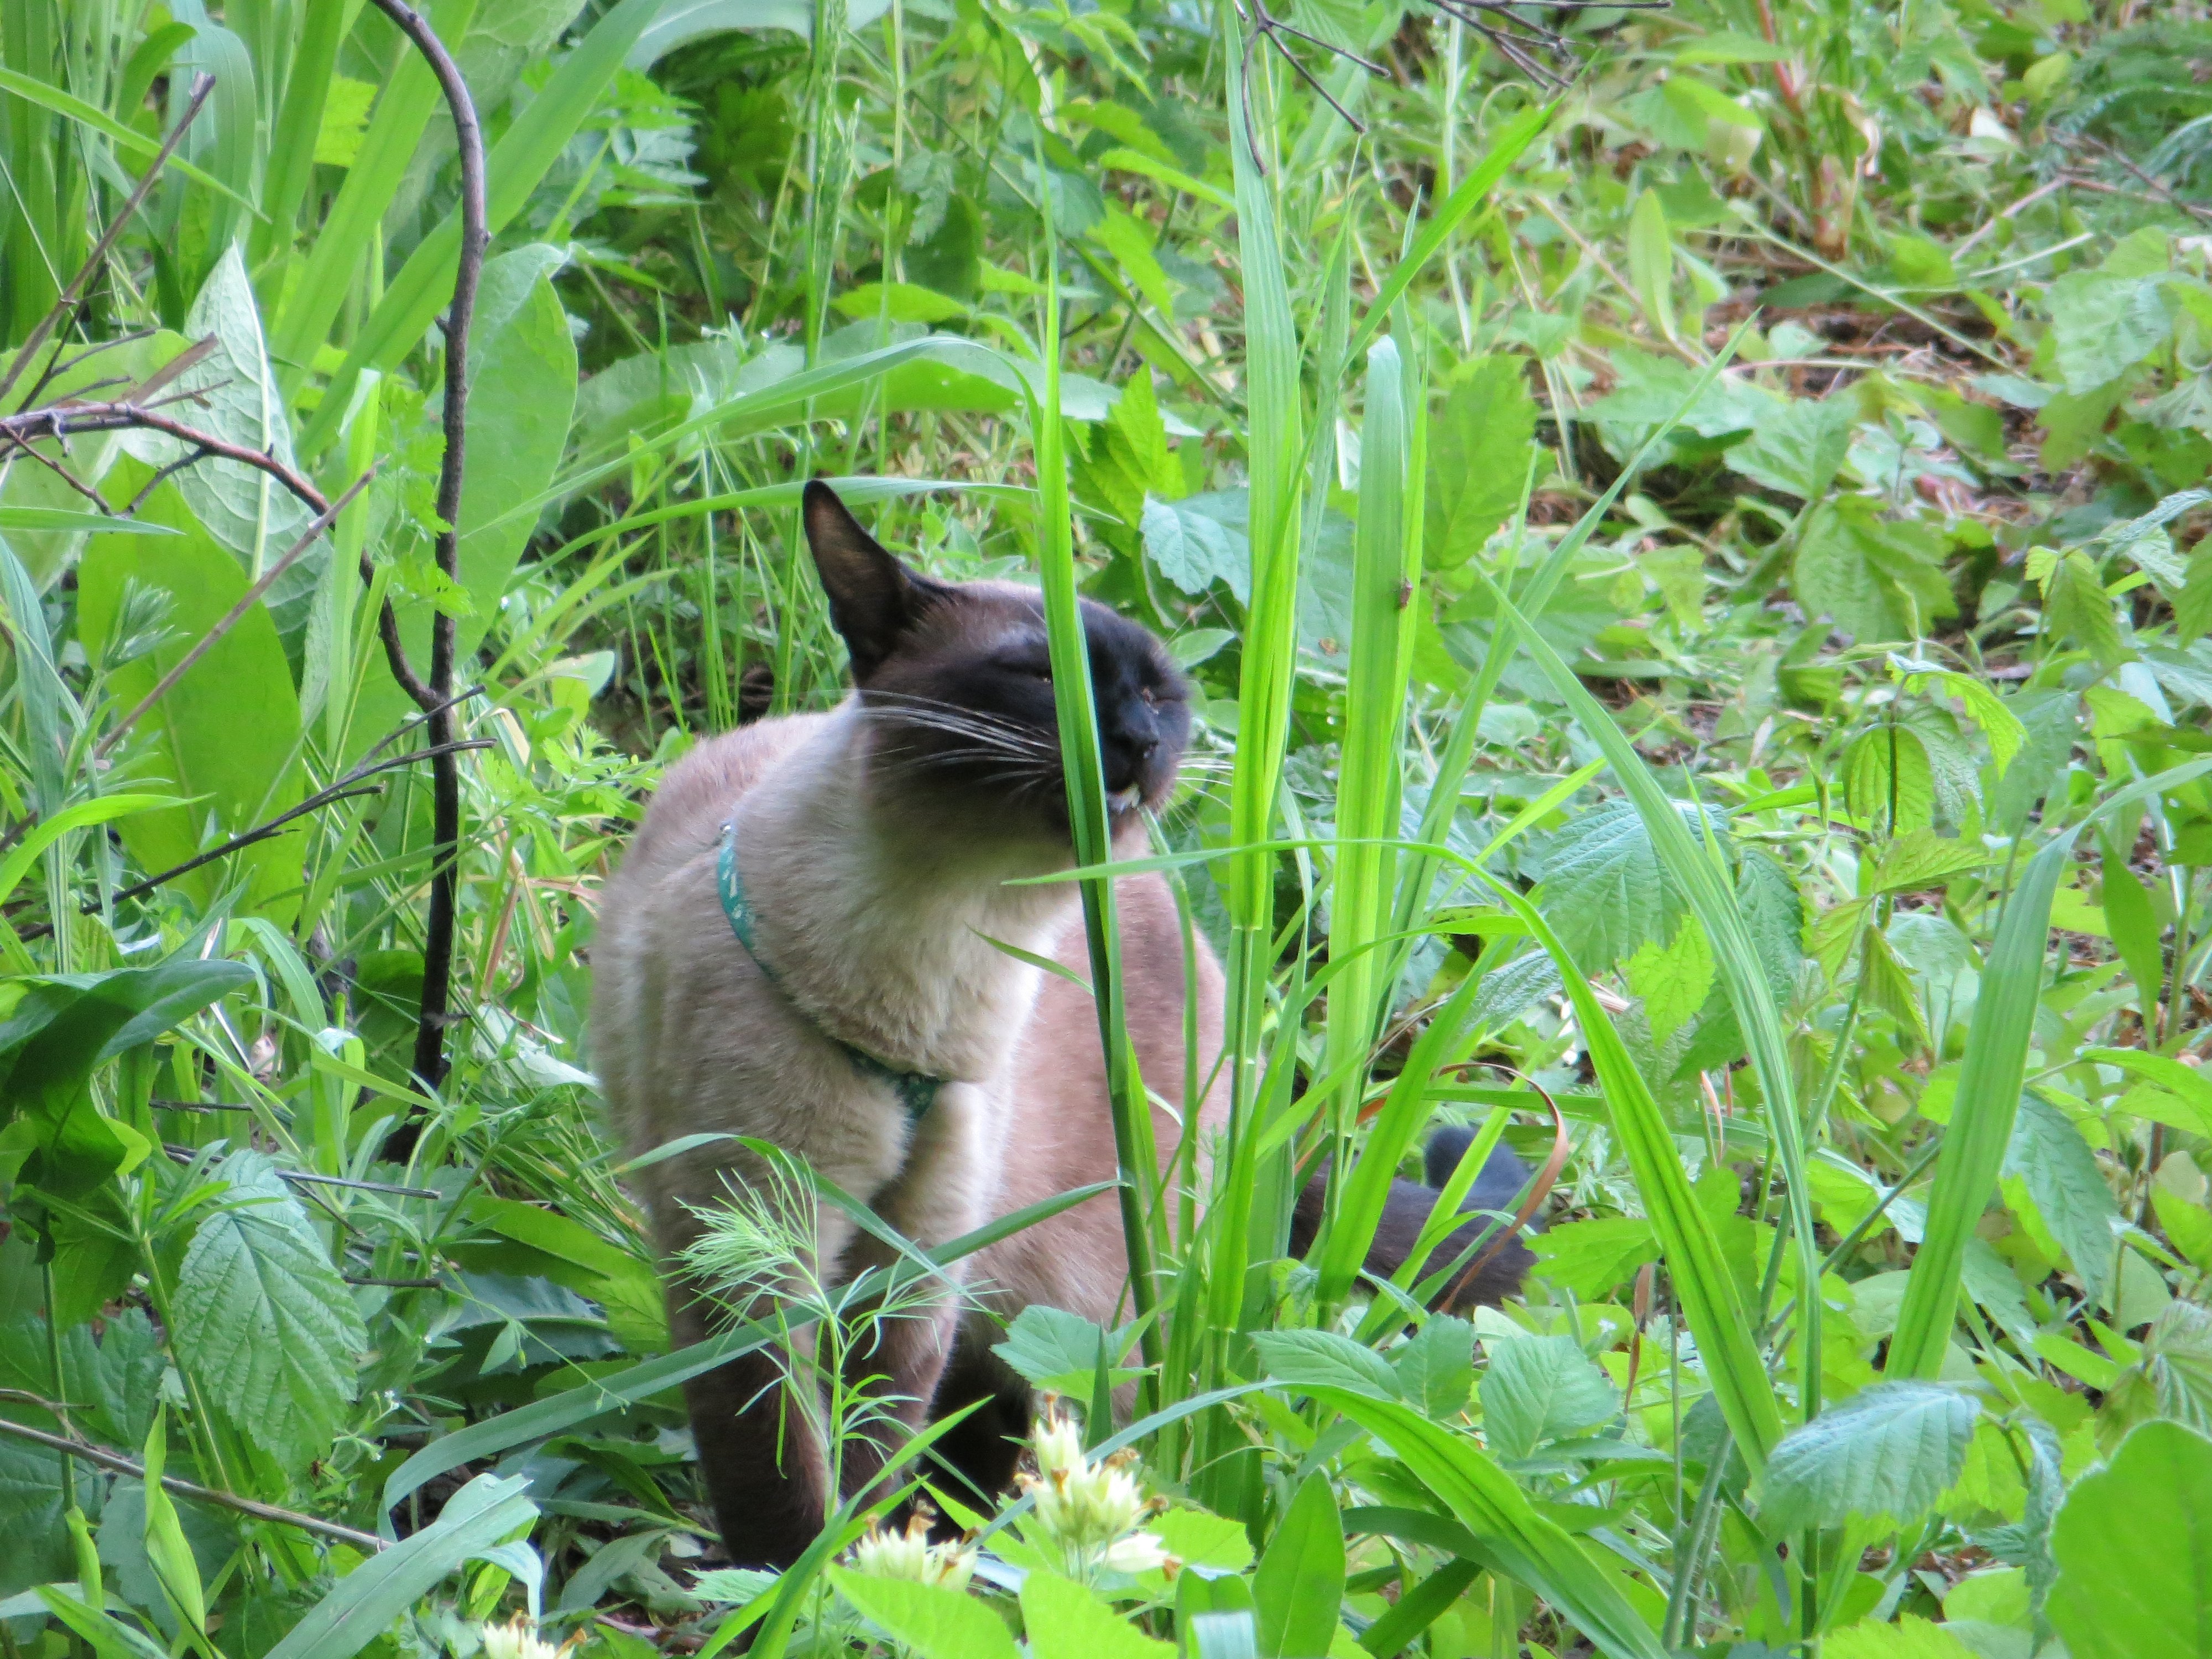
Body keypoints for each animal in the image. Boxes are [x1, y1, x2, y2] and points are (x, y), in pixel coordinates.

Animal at [593, 481, 1532, 1568]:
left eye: (1161, 695)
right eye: (1044, 677)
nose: (1136, 742)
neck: (941, 959)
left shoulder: (915, 1270)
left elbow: (870, 1457)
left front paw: (864, 1575)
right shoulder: (749, 1259)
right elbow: (777, 1474)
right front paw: (790, 1586)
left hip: (1081, 1299)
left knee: (1017, 1422)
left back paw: (985, 1548)